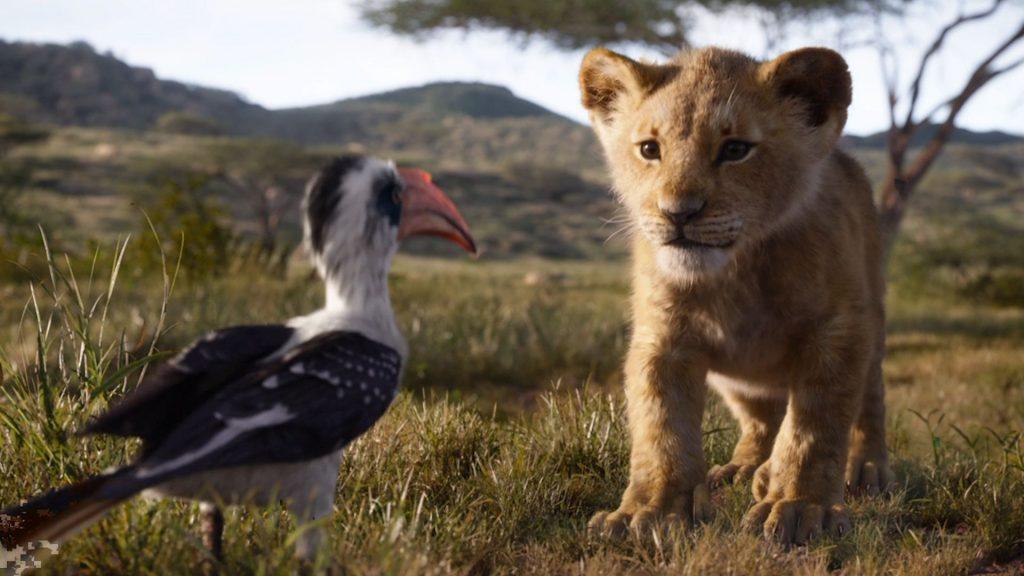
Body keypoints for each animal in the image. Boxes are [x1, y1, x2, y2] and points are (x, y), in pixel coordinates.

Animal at [578, 46, 893, 544]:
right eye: (649, 149)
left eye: (735, 150)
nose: (678, 213)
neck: (736, 272)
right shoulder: (662, 338)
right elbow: (661, 427)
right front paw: (647, 512)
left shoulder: (837, 330)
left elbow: (814, 428)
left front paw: (798, 508)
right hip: (739, 381)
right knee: (762, 418)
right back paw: (747, 469)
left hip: (873, 322)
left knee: (869, 401)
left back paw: (862, 470)